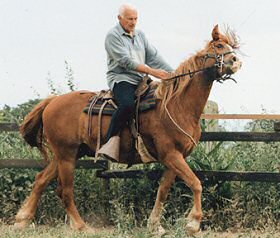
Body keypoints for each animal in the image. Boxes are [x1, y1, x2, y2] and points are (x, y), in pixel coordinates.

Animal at [14, 24, 241, 234]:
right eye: (219, 46)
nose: (236, 61)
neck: (176, 104)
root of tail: (52, 102)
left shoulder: (174, 159)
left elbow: (163, 191)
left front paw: (155, 225)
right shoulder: (171, 155)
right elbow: (195, 183)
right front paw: (193, 223)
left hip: (67, 154)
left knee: (41, 181)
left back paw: (22, 220)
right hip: (67, 155)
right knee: (66, 191)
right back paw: (80, 226)